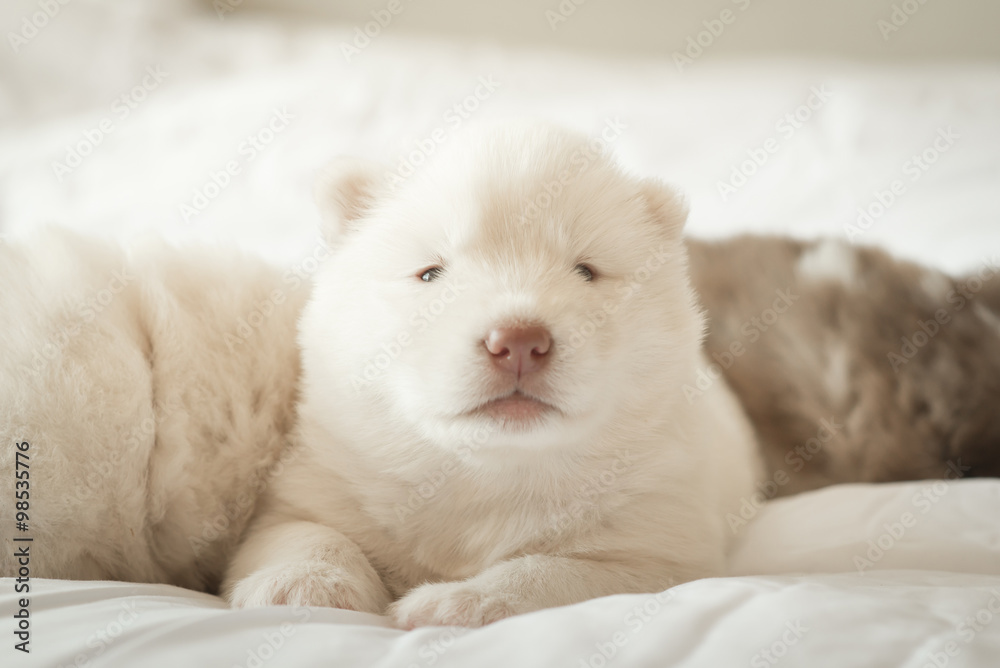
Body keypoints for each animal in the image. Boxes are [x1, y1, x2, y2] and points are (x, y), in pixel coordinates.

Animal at [223, 124, 760, 628]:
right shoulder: (318, 479)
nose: (519, 341)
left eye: (586, 271)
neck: (489, 473)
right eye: (430, 273)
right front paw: (303, 582)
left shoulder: (664, 545)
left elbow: (558, 571)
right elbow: (301, 531)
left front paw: (457, 601)